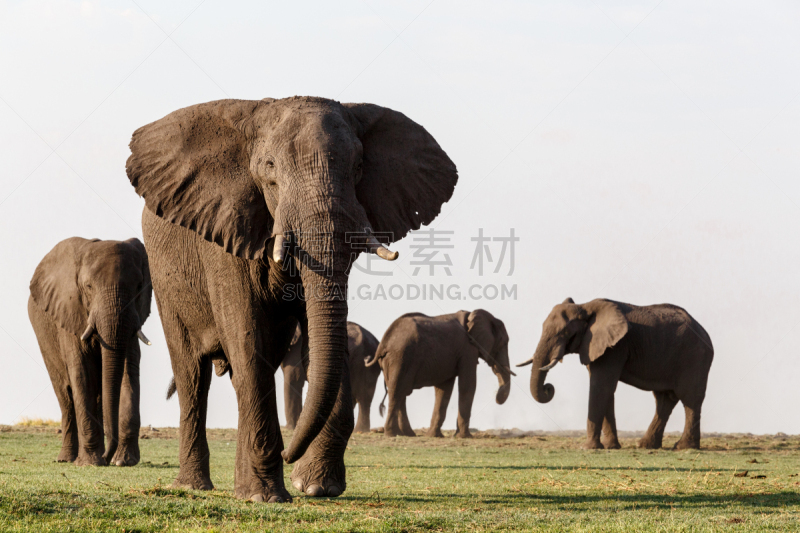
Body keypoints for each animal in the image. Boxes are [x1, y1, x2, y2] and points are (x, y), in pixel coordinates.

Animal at [28, 237, 152, 466]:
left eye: (139, 286)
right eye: (88, 287)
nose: (107, 458)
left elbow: (128, 371)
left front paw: (123, 461)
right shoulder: (70, 312)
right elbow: (82, 373)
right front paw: (91, 462)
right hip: (44, 338)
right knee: (65, 395)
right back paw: (67, 459)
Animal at [128, 94, 460, 498]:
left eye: (359, 167)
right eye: (270, 167)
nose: (290, 455)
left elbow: (321, 339)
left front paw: (317, 487)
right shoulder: (225, 232)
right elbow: (247, 336)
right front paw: (265, 496)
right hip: (165, 279)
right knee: (192, 373)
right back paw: (196, 486)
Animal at [368, 310, 512, 438]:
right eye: (504, 342)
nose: (496, 396)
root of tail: (383, 344)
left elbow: (444, 389)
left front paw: (434, 436)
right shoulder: (468, 349)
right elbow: (468, 385)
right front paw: (464, 437)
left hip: (391, 361)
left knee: (401, 392)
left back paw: (406, 434)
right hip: (400, 357)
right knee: (397, 391)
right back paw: (392, 434)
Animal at [520, 298, 716, 450]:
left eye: (566, 332)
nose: (548, 388)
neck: (586, 306)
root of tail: (705, 332)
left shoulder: (615, 347)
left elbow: (601, 386)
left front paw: (589, 448)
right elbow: (605, 389)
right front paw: (610, 447)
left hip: (694, 357)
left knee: (690, 399)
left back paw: (683, 447)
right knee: (664, 399)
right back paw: (646, 446)